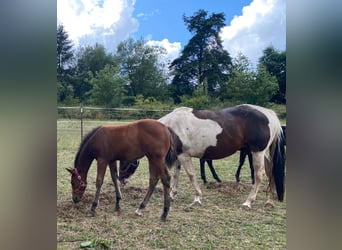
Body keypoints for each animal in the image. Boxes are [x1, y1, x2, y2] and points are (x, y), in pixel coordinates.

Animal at [158, 104, 286, 209]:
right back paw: (269, 201)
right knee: (270, 172)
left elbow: (191, 175)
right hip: (260, 153)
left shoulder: (184, 155)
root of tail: (269, 114)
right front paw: (172, 195)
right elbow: (176, 175)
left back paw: (248, 202)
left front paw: (197, 198)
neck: (172, 126)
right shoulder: (179, 155)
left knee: (259, 175)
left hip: (257, 152)